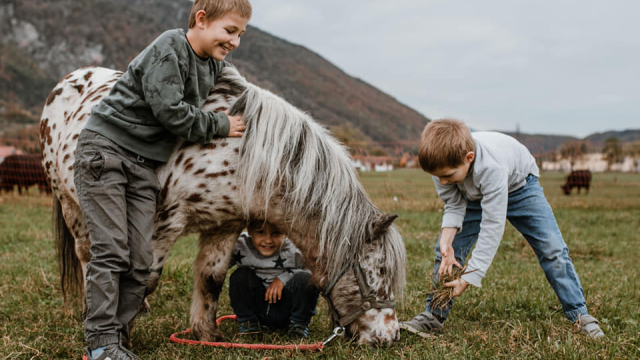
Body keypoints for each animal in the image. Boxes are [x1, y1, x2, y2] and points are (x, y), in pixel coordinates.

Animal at [41, 66, 404, 348]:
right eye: (380, 271)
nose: (390, 336)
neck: (238, 150)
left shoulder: (224, 226)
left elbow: (211, 278)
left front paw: (206, 333)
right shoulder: (163, 225)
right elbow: (145, 279)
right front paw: (122, 338)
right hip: (72, 205)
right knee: (88, 255)